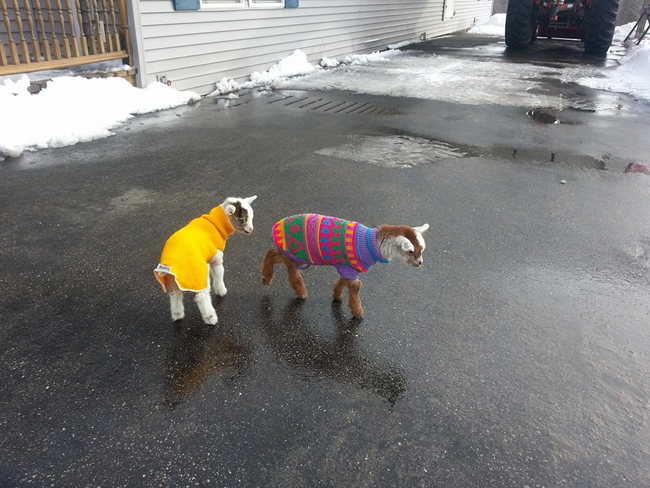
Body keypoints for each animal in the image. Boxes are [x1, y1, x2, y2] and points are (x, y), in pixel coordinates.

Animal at [154, 194, 256, 324]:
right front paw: (221, 291)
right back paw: (211, 318)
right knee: (201, 296)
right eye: (241, 220)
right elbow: (219, 274)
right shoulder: (216, 257)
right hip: (199, 273)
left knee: (175, 294)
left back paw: (177, 315)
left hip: (171, 278)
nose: (251, 229)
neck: (216, 222)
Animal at [260, 214, 428, 320]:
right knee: (272, 254)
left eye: (421, 250)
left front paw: (337, 295)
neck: (373, 243)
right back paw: (267, 278)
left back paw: (300, 290)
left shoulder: (347, 266)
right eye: (411, 251)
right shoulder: (351, 268)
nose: (420, 263)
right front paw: (358, 313)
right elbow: (355, 287)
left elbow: (343, 281)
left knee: (290, 267)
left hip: (297, 255)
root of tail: (278, 225)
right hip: (296, 251)